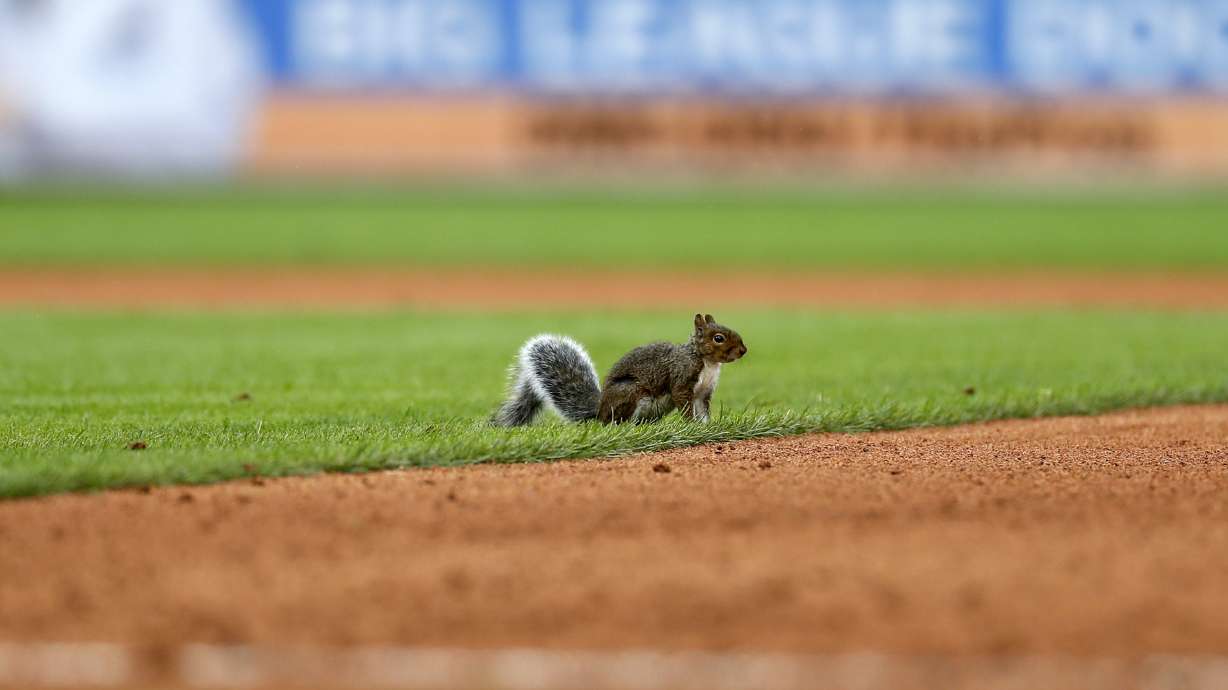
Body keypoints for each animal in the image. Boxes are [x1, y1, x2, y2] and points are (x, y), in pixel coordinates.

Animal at [493, 313, 748, 426]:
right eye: (718, 338)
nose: (743, 350)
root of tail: (600, 411)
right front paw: (691, 425)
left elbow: (703, 409)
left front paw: (706, 425)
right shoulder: (682, 380)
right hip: (631, 393)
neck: (707, 363)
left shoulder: (704, 392)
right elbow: (683, 403)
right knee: (617, 422)